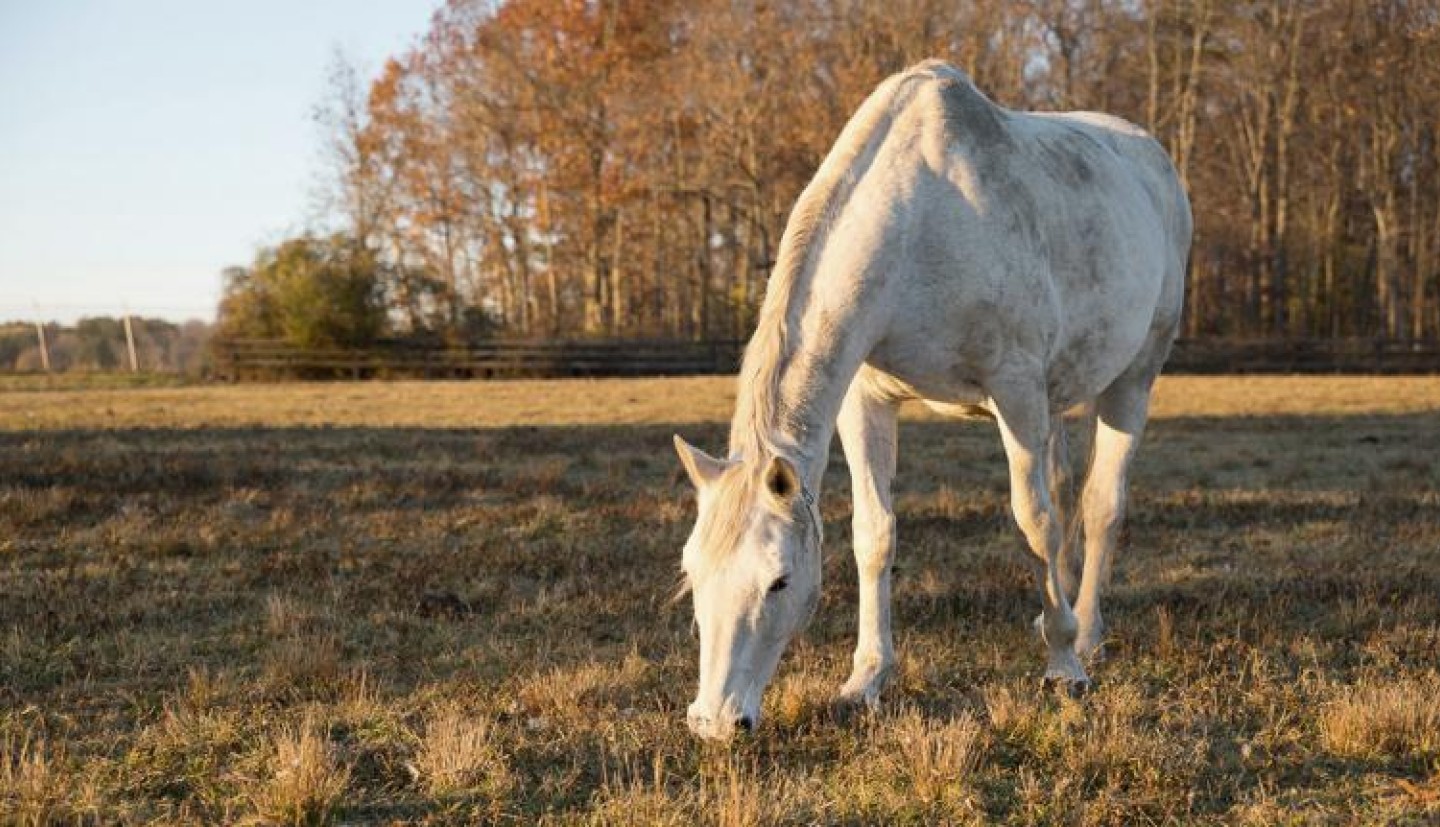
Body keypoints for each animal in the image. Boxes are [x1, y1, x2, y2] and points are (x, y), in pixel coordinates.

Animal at [672, 60, 1191, 740]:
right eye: (693, 572)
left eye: (779, 582)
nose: (714, 720)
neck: (918, 224)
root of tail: (1152, 158)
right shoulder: (866, 401)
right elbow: (875, 534)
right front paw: (865, 679)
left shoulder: (1015, 389)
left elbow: (1034, 521)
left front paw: (1062, 664)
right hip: (1056, 401)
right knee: (1067, 494)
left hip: (1131, 380)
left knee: (1101, 504)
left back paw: (1086, 636)